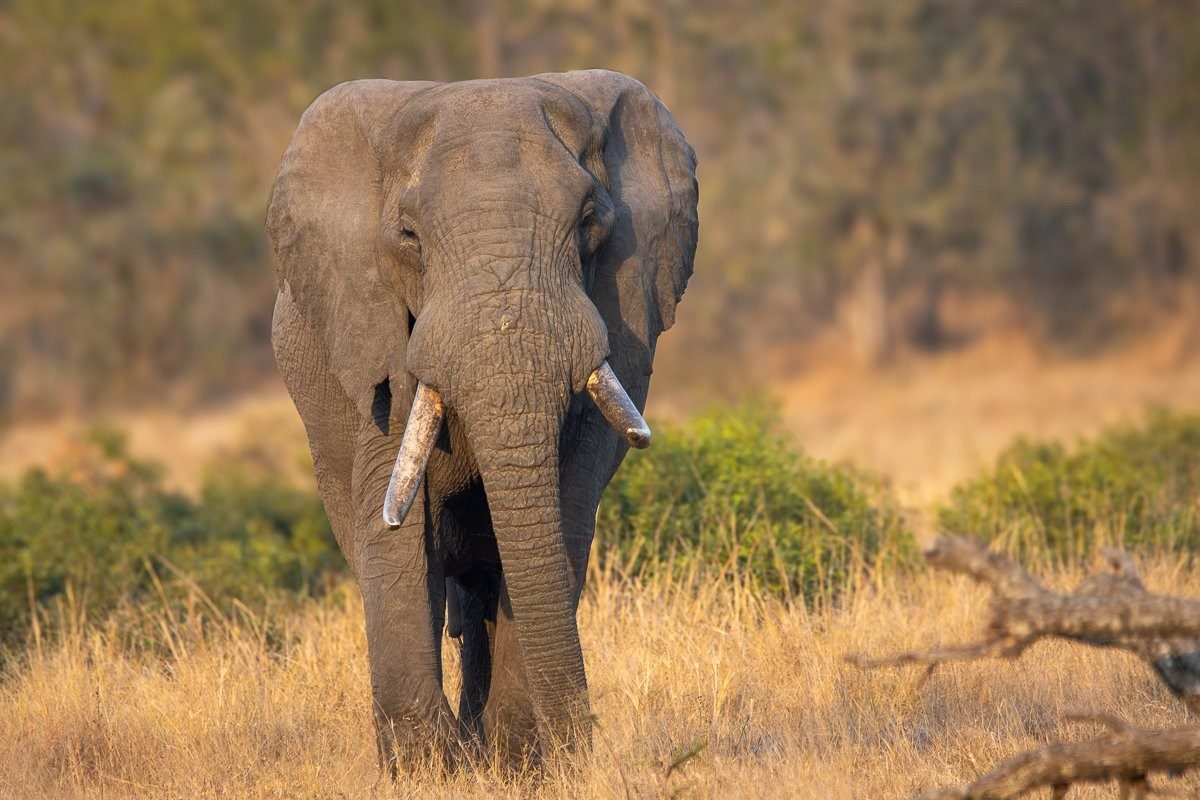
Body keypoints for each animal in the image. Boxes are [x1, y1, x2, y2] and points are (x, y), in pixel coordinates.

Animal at [265, 70, 698, 771]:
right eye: (408, 237)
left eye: (590, 222)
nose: (585, 738)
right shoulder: (375, 338)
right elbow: (391, 519)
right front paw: (426, 767)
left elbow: (563, 508)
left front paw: (515, 761)